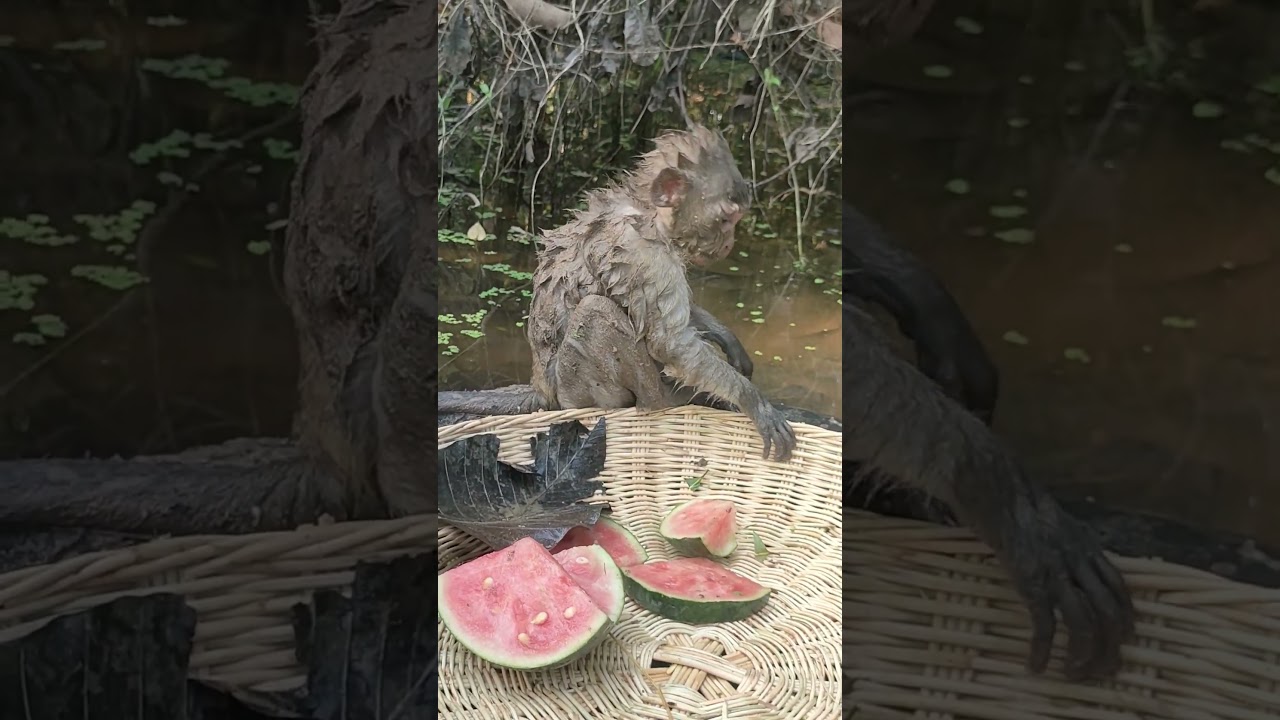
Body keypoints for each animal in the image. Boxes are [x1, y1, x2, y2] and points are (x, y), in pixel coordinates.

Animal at [438, 125, 795, 461]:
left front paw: (728, 340)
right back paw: (666, 399)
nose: (730, 243)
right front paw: (752, 400)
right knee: (595, 312)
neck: (647, 213)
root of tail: (542, 389)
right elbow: (671, 342)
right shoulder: (646, 254)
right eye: (726, 219)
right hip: (576, 394)